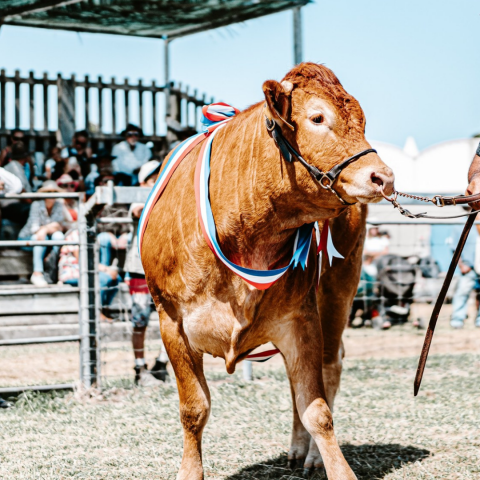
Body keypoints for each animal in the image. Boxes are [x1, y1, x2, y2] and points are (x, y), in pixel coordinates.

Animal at [142, 63, 394, 480]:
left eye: (361, 119)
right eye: (318, 118)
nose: (383, 176)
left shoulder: (301, 317)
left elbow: (318, 411)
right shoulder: (170, 320)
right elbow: (194, 408)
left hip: (339, 291)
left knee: (330, 366)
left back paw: (309, 454)